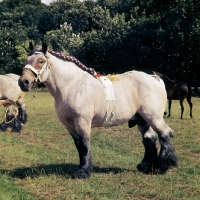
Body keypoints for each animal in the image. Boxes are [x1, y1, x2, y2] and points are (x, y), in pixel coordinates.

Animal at [18, 41, 178, 178]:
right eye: (27, 59)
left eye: (41, 61)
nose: (23, 82)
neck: (72, 85)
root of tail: (154, 78)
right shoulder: (69, 125)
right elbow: (79, 146)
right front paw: (82, 168)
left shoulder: (82, 122)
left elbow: (84, 145)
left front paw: (83, 172)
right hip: (143, 120)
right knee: (149, 139)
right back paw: (146, 167)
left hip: (154, 118)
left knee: (164, 134)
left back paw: (164, 166)